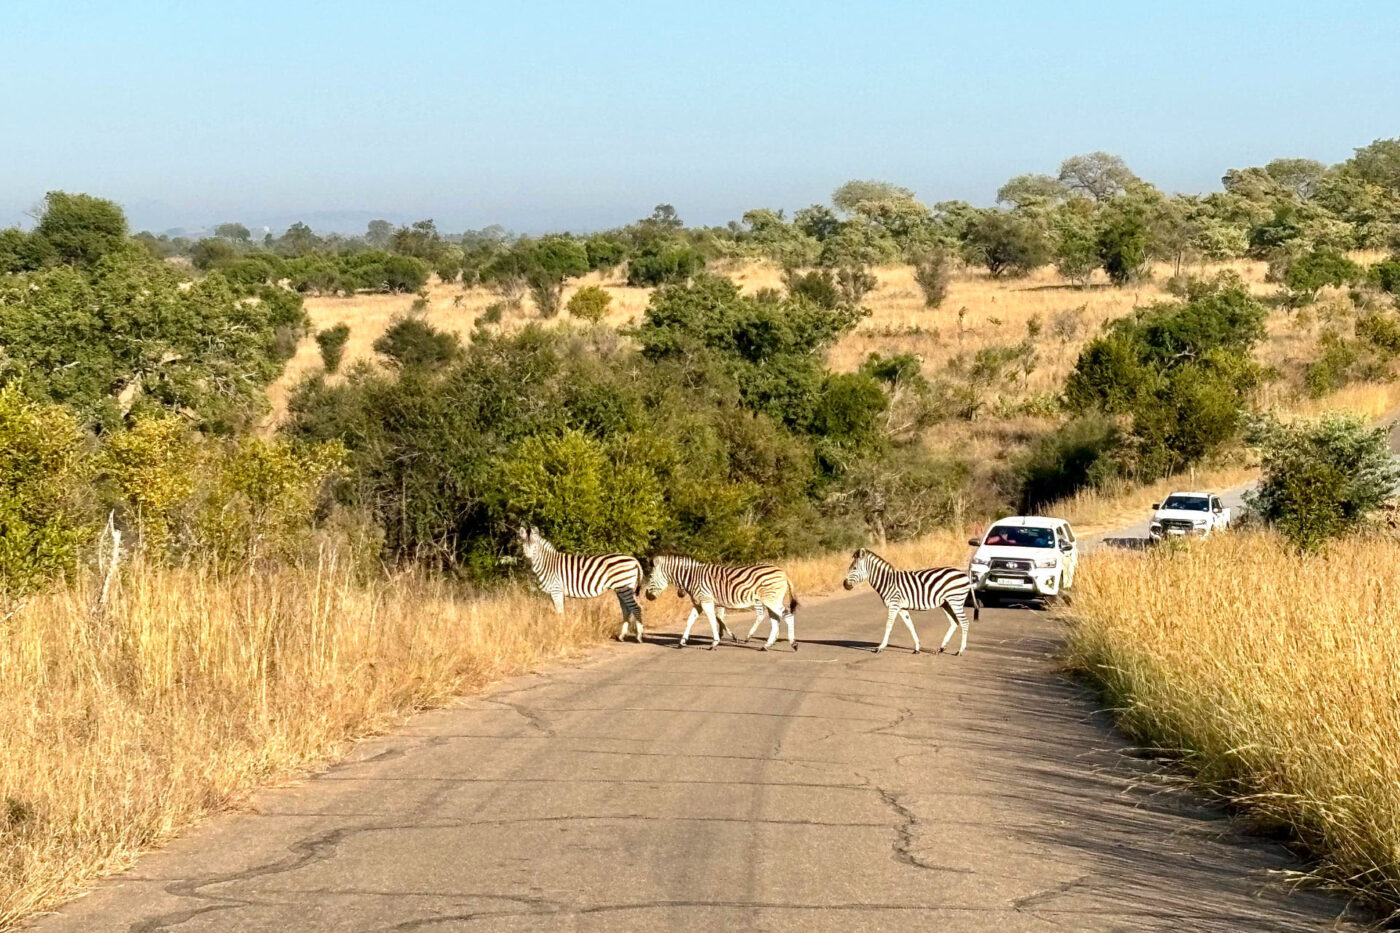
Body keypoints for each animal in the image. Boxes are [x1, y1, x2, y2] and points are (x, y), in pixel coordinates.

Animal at [517, 527, 646, 642]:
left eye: (534, 548)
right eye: (524, 547)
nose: (528, 564)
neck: (548, 564)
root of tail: (634, 560)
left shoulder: (556, 590)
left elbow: (560, 612)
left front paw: (561, 631)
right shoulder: (556, 592)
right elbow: (560, 611)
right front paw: (561, 629)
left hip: (624, 587)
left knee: (636, 608)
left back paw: (639, 637)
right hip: (620, 589)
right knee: (627, 610)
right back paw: (621, 636)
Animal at [645, 555, 799, 651]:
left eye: (651, 576)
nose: (647, 596)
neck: (692, 578)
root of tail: (783, 573)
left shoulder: (706, 601)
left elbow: (713, 620)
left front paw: (714, 643)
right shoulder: (698, 603)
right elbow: (690, 621)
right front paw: (682, 642)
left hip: (770, 599)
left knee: (788, 616)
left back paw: (793, 644)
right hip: (771, 600)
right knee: (776, 620)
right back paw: (766, 646)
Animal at [842, 548, 979, 655]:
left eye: (854, 568)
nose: (844, 584)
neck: (887, 581)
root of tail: (964, 575)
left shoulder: (894, 604)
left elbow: (888, 625)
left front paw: (880, 647)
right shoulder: (901, 608)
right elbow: (910, 626)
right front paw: (917, 648)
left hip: (956, 601)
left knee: (964, 622)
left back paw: (960, 651)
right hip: (946, 603)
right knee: (954, 622)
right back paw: (941, 648)